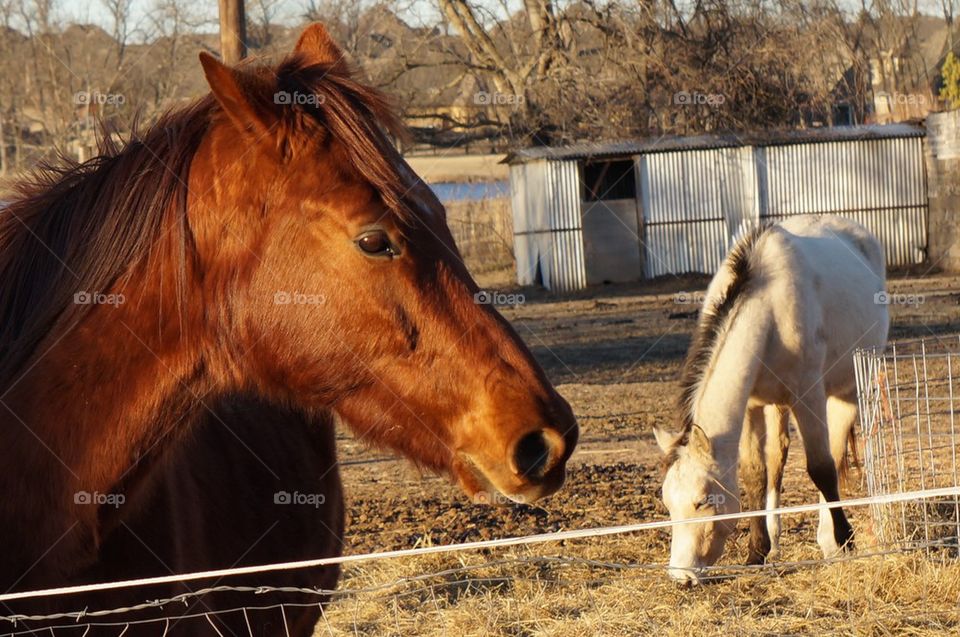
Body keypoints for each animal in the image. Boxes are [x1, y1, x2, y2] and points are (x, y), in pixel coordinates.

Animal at [656, 216, 888, 584]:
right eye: (667, 502)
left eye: (703, 501)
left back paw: (830, 540)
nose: (681, 576)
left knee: (835, 456)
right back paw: (776, 540)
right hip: (777, 405)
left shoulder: (809, 395)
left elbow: (822, 469)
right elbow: (756, 474)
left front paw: (845, 542)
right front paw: (757, 553)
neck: (769, 308)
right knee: (778, 458)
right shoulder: (751, 405)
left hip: (848, 390)